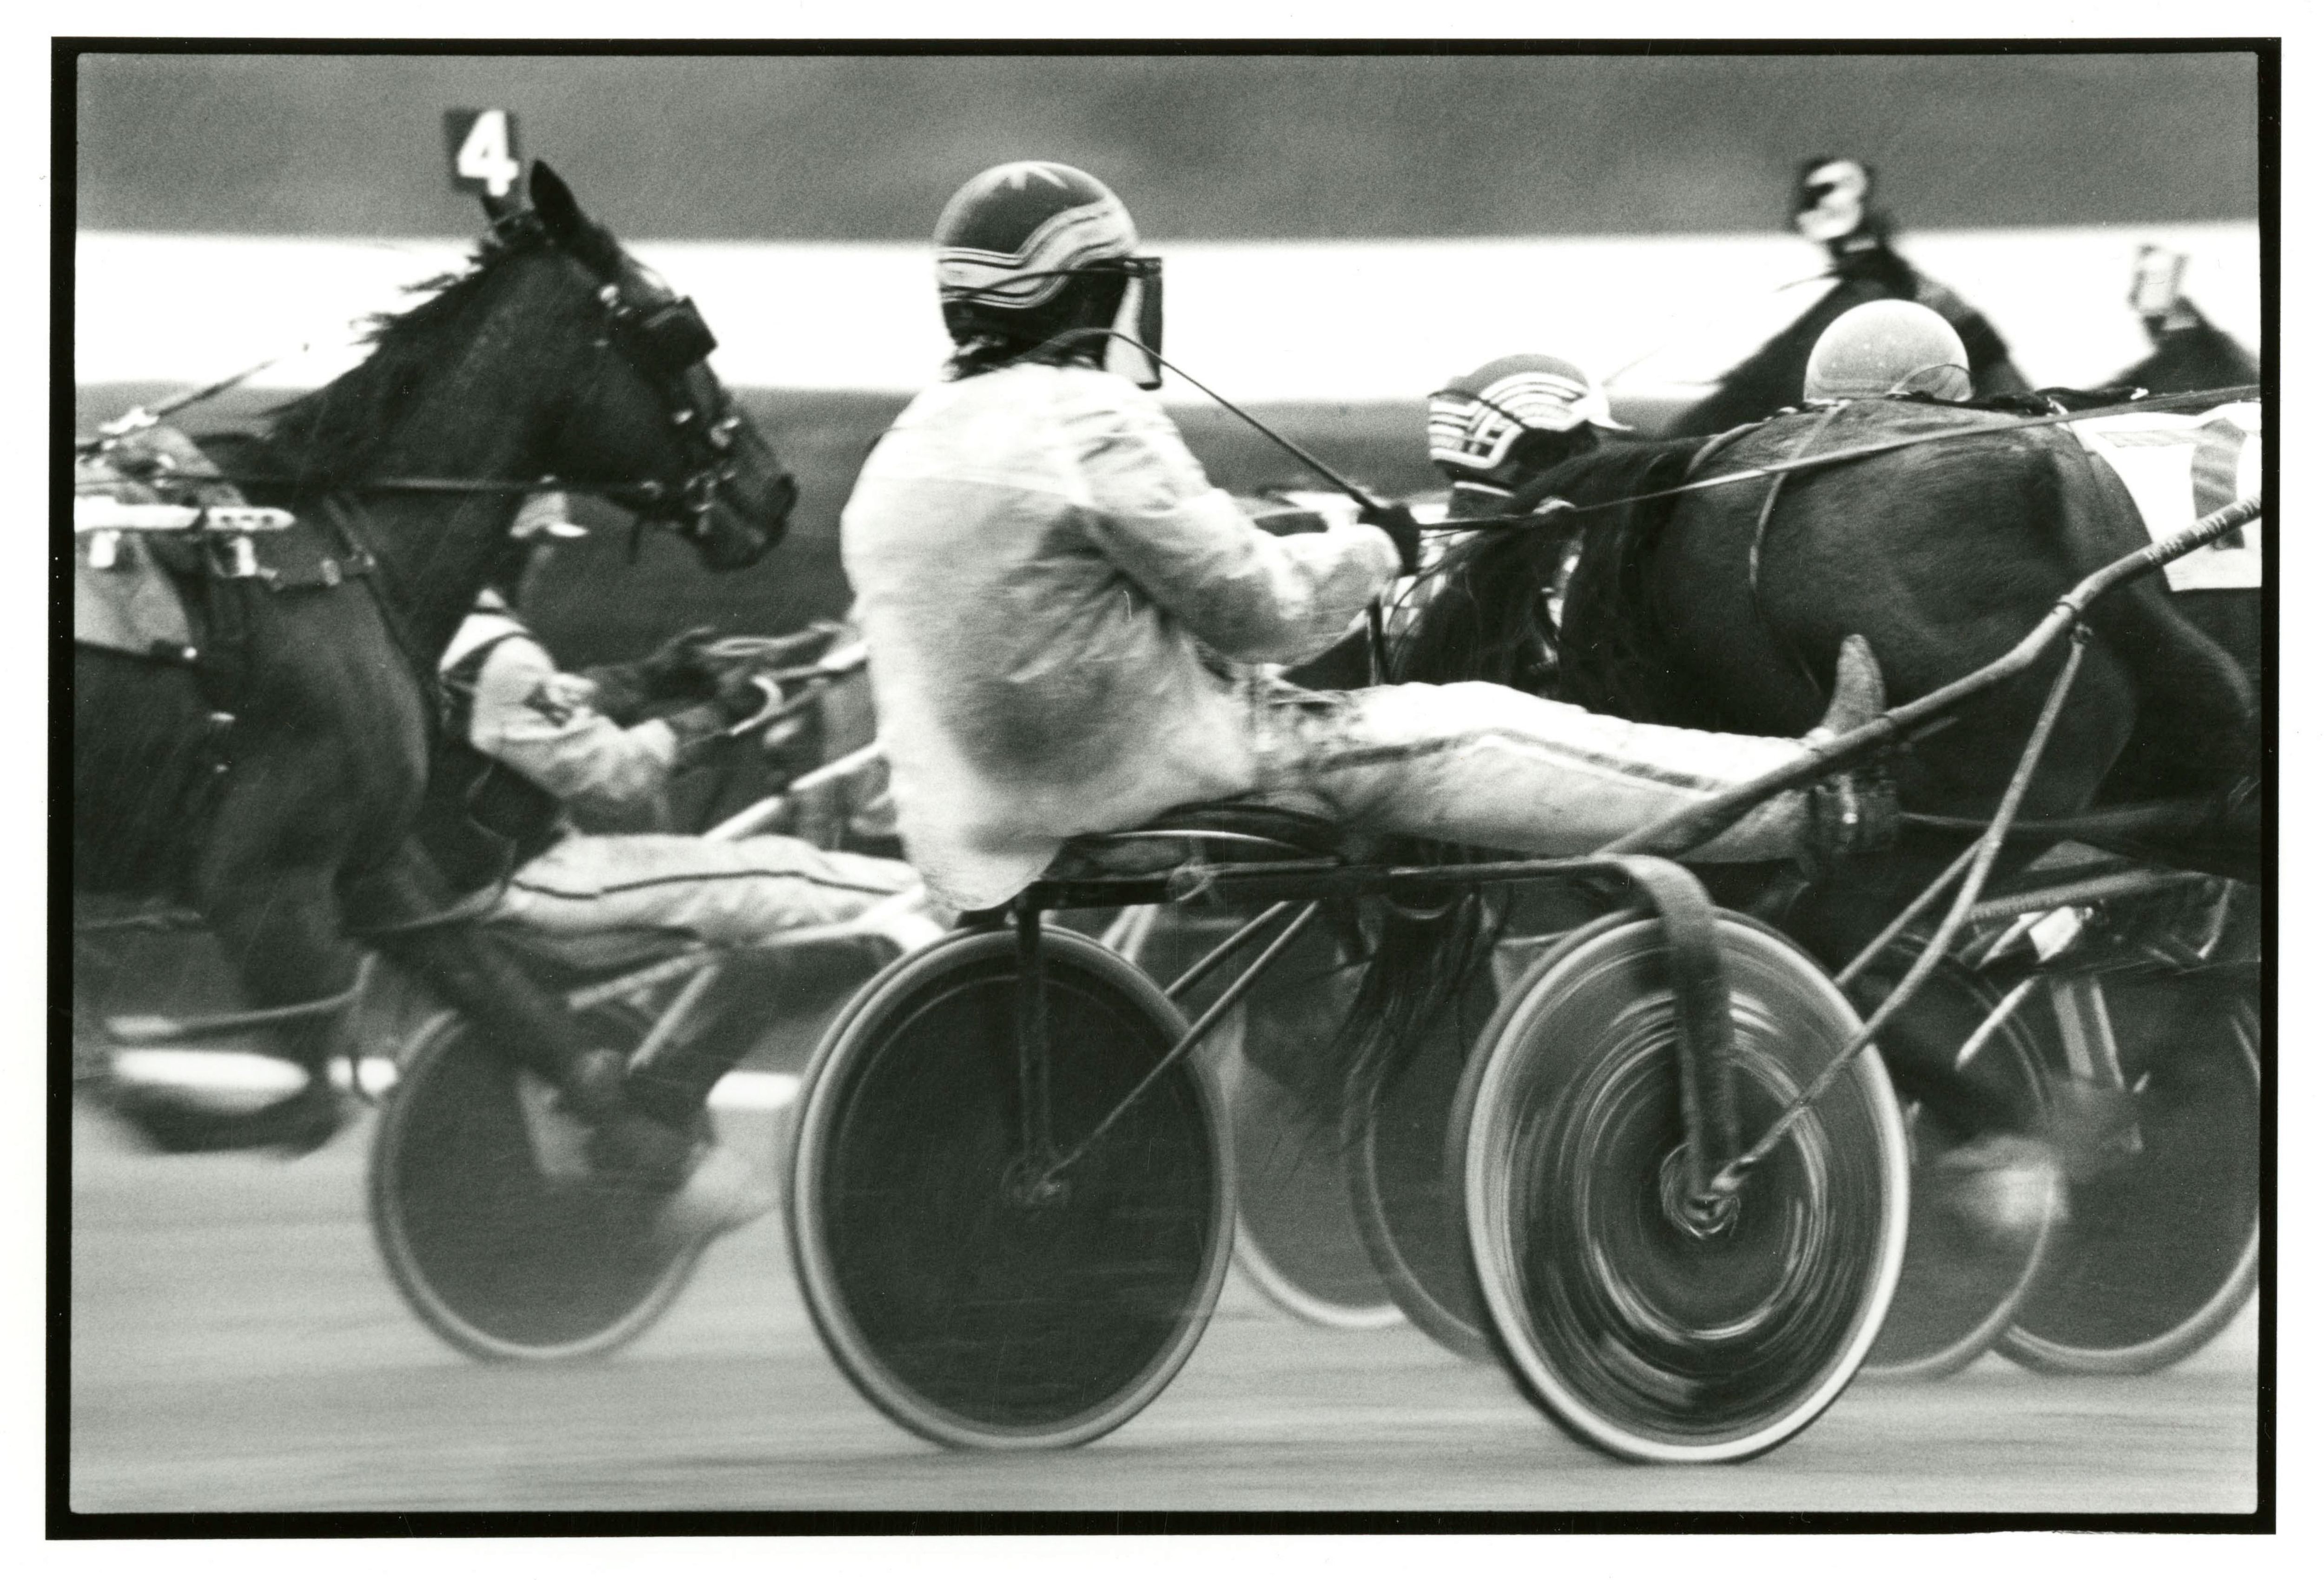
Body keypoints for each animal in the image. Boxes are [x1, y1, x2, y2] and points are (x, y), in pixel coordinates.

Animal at [74, 161, 798, 1153]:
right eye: (675, 323)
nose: (776, 488)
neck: (333, 556)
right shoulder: (266, 887)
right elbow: (309, 1100)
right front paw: (130, 1086)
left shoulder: (376, 868)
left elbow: (518, 1011)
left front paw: (634, 1140)